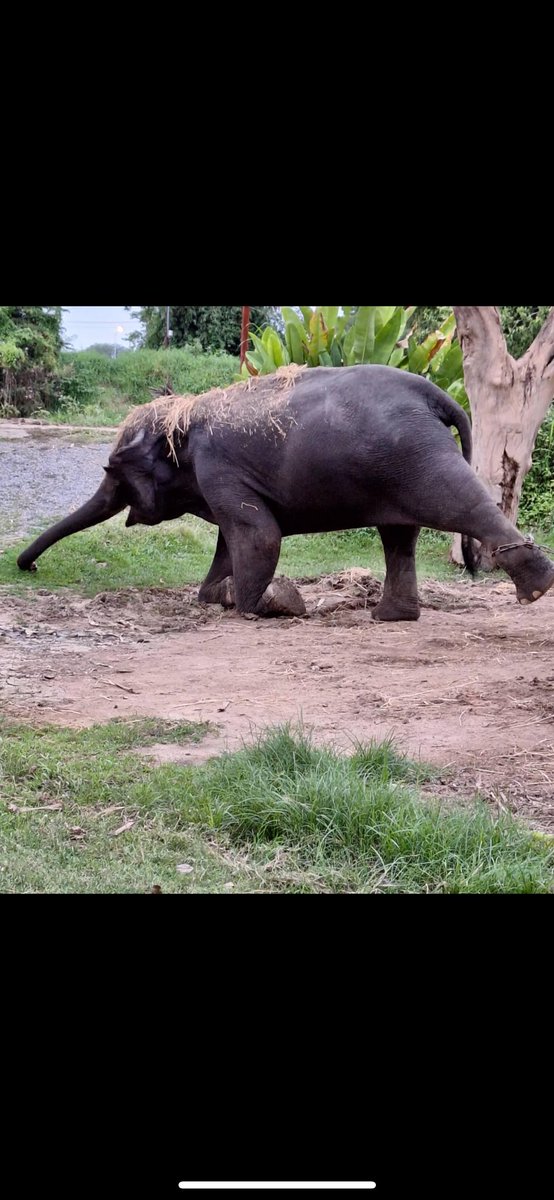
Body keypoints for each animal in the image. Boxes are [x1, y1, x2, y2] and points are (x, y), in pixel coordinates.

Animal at [17, 365, 554, 621]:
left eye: (114, 472)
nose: (29, 567)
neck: (184, 417)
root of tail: (435, 394)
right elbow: (231, 541)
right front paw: (219, 595)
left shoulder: (219, 468)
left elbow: (259, 535)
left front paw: (275, 602)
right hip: (399, 462)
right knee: (399, 535)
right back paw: (390, 617)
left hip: (414, 456)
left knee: (455, 504)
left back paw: (536, 587)